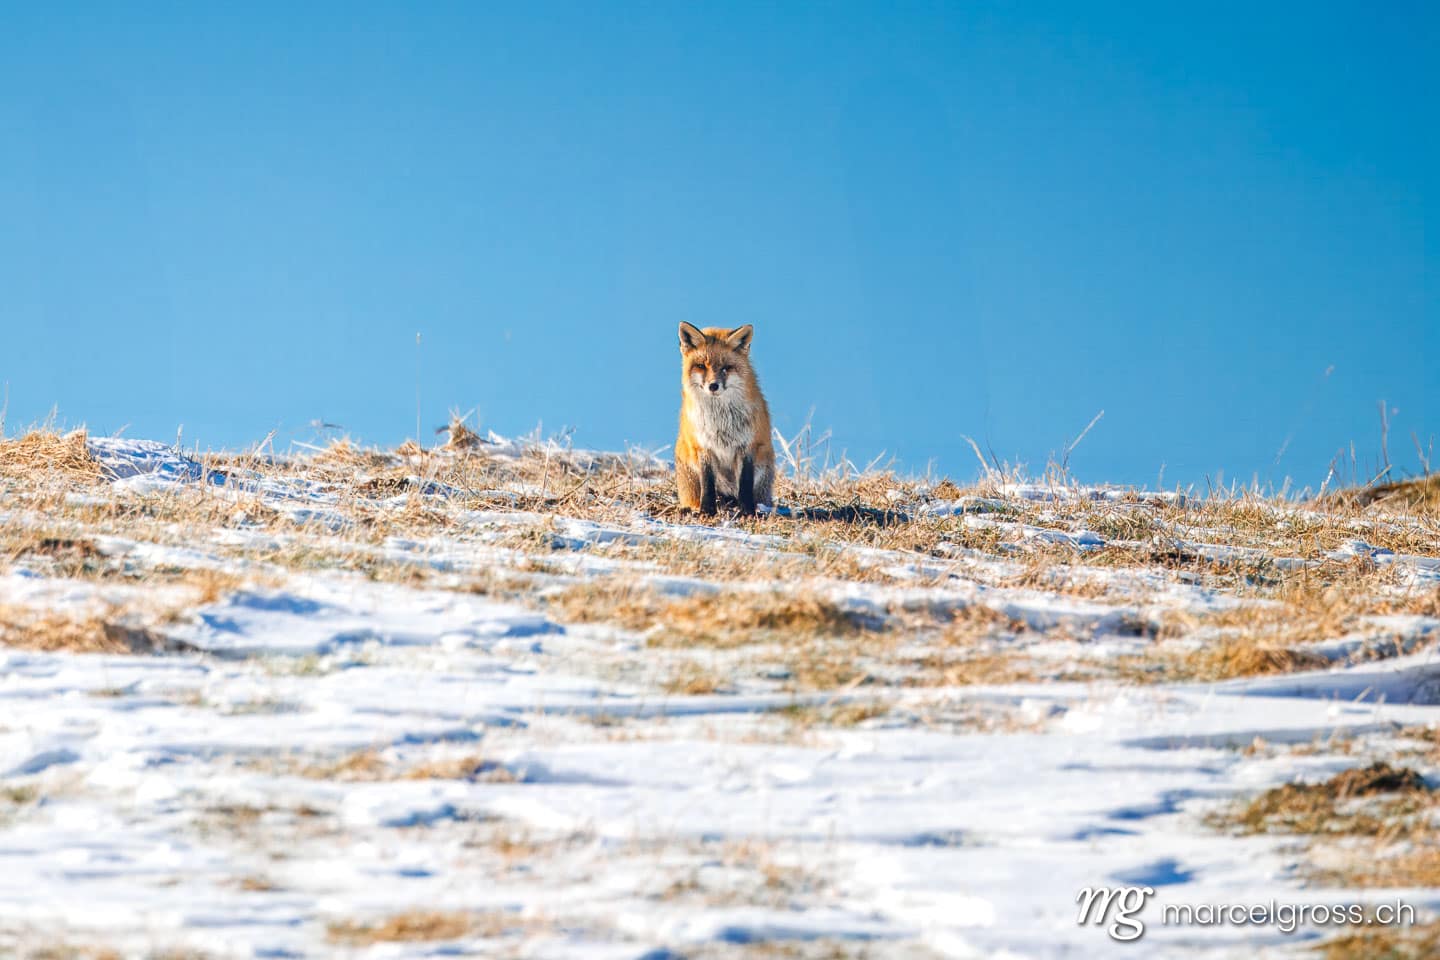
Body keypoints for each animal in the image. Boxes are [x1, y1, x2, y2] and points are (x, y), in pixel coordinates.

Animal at [675, 322, 775, 516]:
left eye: (726, 367)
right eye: (701, 366)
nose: (713, 386)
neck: (720, 420)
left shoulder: (747, 445)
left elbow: (745, 483)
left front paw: (747, 512)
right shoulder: (704, 446)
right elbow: (708, 483)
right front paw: (707, 511)